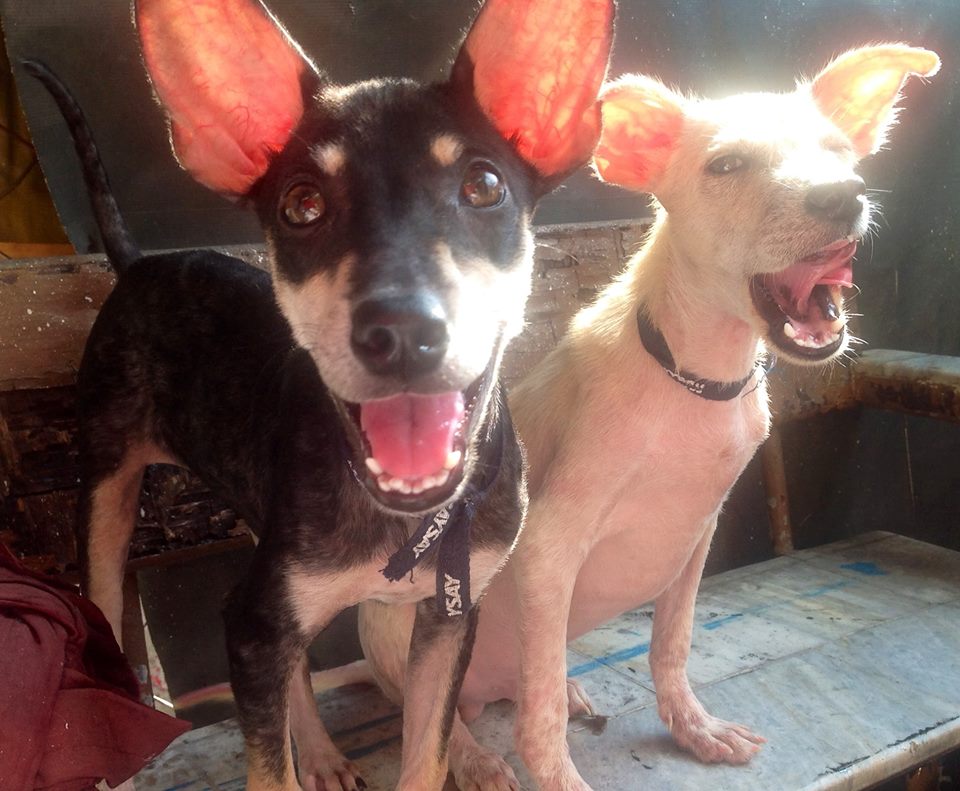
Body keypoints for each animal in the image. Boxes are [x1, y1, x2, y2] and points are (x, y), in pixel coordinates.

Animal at [28, 0, 616, 788]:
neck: (404, 519)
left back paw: (327, 754)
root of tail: (136, 263)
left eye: (485, 186)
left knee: (294, 663)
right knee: (111, 598)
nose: (401, 330)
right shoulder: (258, 623)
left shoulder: (448, 618)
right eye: (302, 204)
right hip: (107, 491)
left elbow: (426, 753)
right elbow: (267, 764)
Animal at [358, 44, 936, 791]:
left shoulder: (696, 534)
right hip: (410, 620)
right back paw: (476, 756)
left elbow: (672, 644)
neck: (695, 378)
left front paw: (694, 728)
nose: (843, 196)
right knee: (433, 718)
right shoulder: (546, 546)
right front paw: (557, 774)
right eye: (726, 165)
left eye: (840, 154)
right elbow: (538, 726)